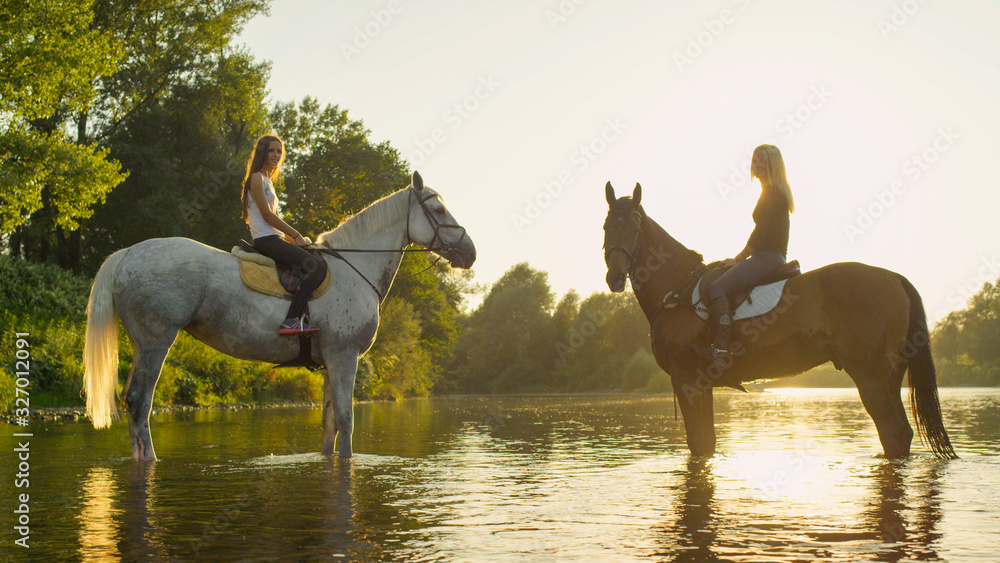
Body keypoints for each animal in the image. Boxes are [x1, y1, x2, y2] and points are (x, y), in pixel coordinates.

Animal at [84, 174, 474, 460]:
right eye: (437, 210)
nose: (469, 253)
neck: (355, 266)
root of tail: (128, 253)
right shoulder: (344, 356)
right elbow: (346, 422)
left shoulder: (331, 361)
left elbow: (330, 426)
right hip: (157, 340)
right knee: (140, 401)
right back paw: (150, 460)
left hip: (141, 342)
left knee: (133, 401)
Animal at [596, 183, 956, 460]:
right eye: (606, 228)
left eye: (636, 230)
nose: (614, 278)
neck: (678, 289)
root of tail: (894, 277)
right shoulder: (700, 384)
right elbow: (706, 444)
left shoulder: (688, 380)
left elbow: (699, 445)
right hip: (889, 377)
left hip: (871, 376)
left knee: (894, 433)